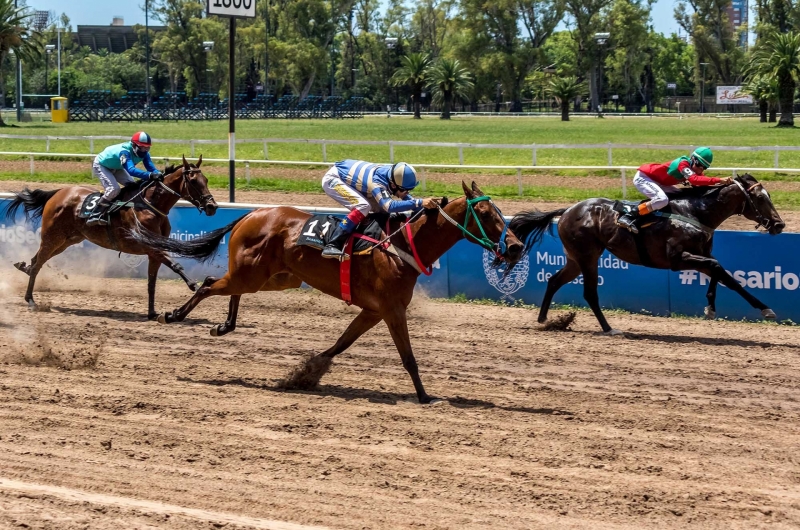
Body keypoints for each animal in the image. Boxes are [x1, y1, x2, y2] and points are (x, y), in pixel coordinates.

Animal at [3, 154, 219, 318]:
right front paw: (194, 285)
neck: (150, 206)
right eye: (193, 181)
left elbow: (152, 282)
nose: (212, 206)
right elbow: (176, 265)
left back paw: (25, 269)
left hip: (67, 241)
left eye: (207, 180)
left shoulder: (153, 251)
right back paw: (31, 300)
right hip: (52, 237)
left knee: (36, 260)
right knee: (38, 263)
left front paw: (152, 312)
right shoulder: (149, 246)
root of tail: (58, 193)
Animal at [130, 180, 520, 400]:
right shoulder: (391, 309)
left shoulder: (373, 311)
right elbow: (408, 357)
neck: (401, 244)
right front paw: (425, 397)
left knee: (226, 288)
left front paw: (306, 373)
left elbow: (341, 344)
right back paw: (174, 315)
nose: (516, 247)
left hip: (274, 278)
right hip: (254, 275)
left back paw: (225, 325)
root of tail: (250, 215)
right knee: (210, 285)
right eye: (487, 214)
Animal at [510, 174, 784, 334]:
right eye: (760, 197)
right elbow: (720, 271)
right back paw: (609, 328)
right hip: (587, 256)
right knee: (589, 293)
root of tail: (567, 210)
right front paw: (765, 309)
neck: (696, 212)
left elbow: (720, 272)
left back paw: (545, 319)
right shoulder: (677, 259)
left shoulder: (701, 254)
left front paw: (711, 308)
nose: (779, 225)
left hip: (576, 259)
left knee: (554, 280)